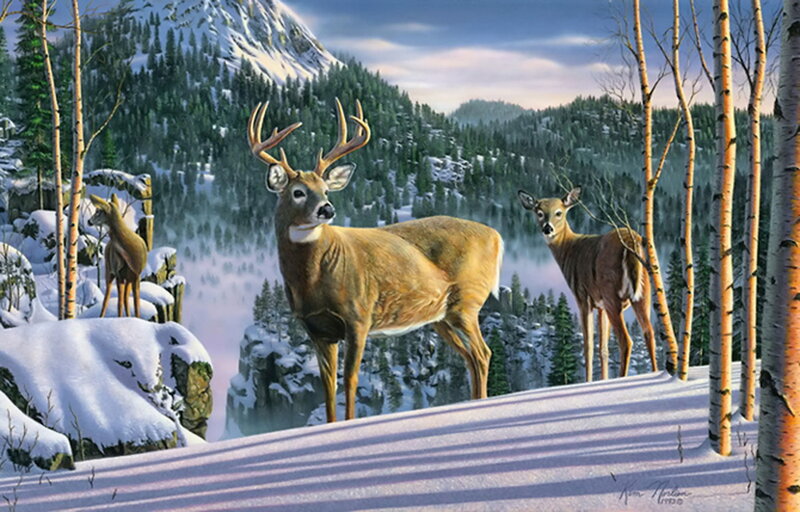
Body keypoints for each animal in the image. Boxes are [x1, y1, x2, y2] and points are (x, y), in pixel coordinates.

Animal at [247, 98, 504, 422]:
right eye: (298, 192)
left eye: (326, 190)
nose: (327, 209)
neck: (313, 281)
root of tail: (496, 235)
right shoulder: (317, 330)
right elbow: (328, 385)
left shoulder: (358, 316)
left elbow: (350, 379)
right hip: (441, 317)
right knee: (471, 357)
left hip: (467, 301)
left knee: (483, 353)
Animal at [517, 187, 657, 382]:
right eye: (539, 213)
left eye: (559, 212)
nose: (547, 228)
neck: (568, 248)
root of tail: (631, 240)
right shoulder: (601, 306)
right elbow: (603, 349)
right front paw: (602, 379)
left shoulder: (583, 296)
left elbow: (588, 348)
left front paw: (589, 381)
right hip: (643, 291)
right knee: (649, 333)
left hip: (611, 293)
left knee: (626, 340)